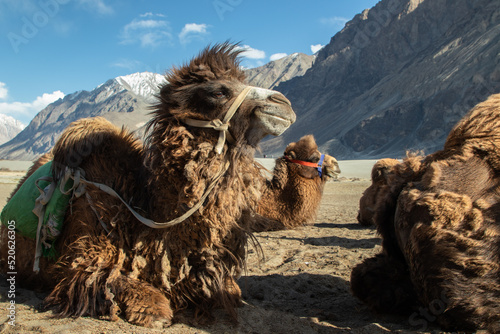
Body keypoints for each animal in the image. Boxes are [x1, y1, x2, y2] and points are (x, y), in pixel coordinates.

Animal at [0, 43, 296, 328]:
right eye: (218, 92)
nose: (284, 104)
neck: (143, 212)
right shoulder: (87, 252)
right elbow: (112, 282)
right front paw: (152, 310)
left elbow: (230, 291)